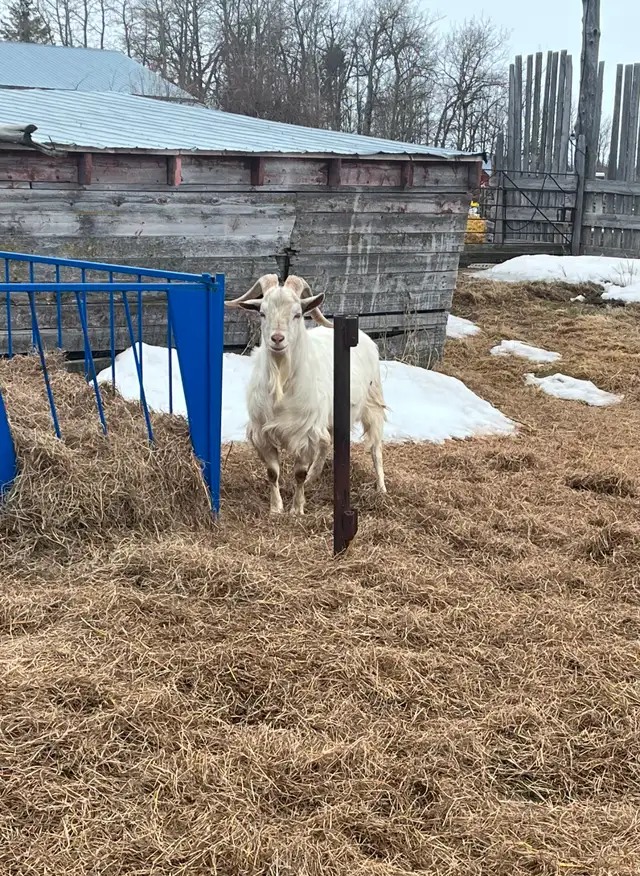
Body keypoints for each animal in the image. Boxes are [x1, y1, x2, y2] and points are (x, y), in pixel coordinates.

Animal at [226, 274, 387, 516]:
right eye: (262, 312)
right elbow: (272, 472)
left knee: (375, 448)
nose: (277, 339)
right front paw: (276, 508)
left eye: (297, 314)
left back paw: (381, 488)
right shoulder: (263, 433)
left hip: (372, 403)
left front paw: (297, 509)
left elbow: (298, 474)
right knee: (327, 442)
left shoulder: (305, 434)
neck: (282, 386)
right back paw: (314, 476)